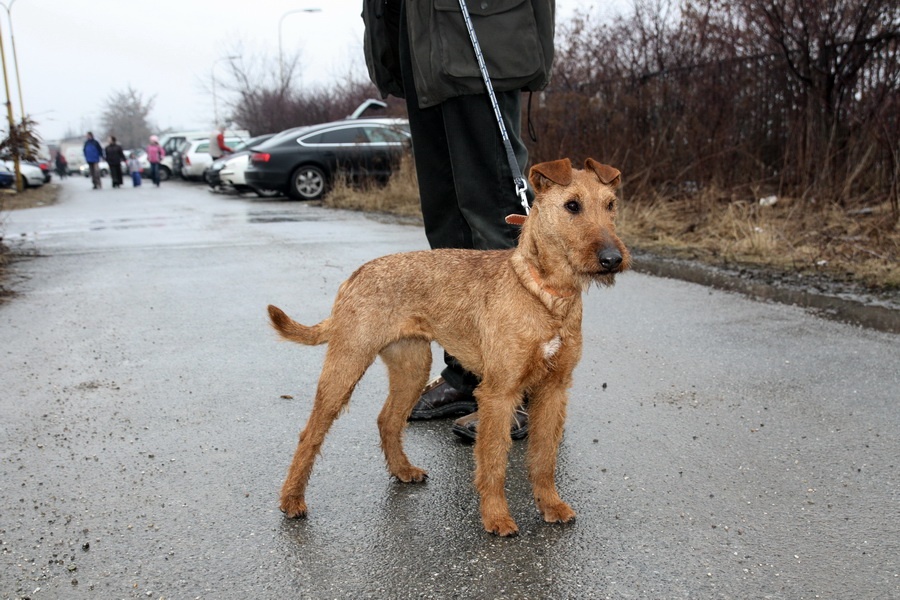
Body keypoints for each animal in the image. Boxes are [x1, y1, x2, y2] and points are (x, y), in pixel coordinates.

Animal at [270, 158, 628, 536]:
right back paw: (292, 500)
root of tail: (356, 275)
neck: (545, 294)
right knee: (310, 433)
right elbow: (493, 462)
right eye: (572, 205)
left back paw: (403, 470)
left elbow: (544, 458)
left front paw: (551, 505)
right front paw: (496, 517)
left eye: (610, 205)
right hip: (345, 368)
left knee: (387, 419)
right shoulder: (499, 394)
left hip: (412, 368)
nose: (612, 258)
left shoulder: (553, 389)